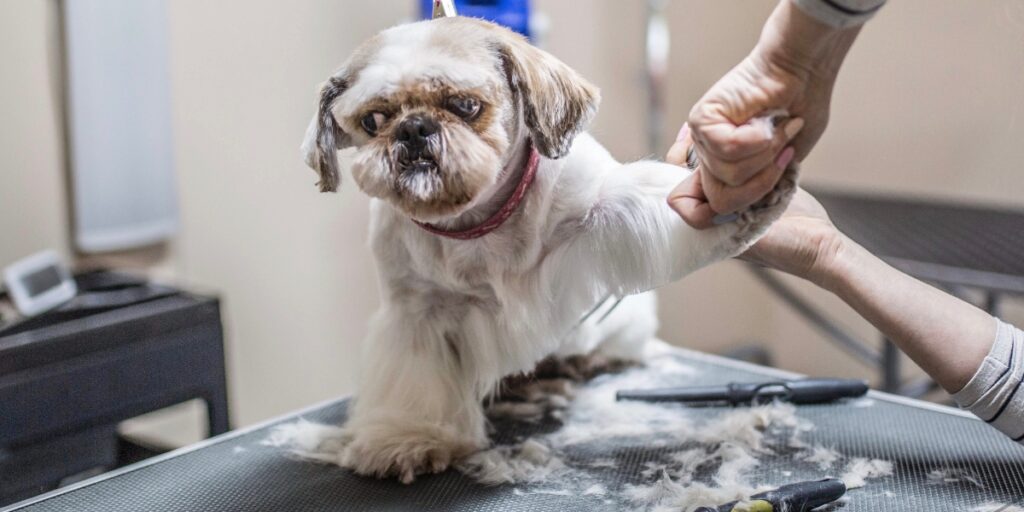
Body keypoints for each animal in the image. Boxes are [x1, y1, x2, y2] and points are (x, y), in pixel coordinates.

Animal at [299, 17, 794, 483]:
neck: (476, 223)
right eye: (373, 121)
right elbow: (417, 382)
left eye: (465, 105)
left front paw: (746, 198)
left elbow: (645, 201)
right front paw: (410, 437)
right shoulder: (417, 311)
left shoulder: (603, 210)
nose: (413, 128)